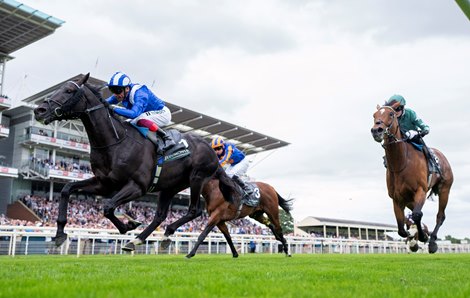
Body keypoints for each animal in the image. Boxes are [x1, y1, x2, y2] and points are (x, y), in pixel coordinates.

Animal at [33, 73, 237, 249]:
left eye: (68, 90)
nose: (39, 110)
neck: (115, 143)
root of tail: (211, 150)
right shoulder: (104, 184)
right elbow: (67, 189)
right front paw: (60, 233)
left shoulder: (138, 186)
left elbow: (108, 207)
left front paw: (128, 225)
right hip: (170, 187)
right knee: (160, 215)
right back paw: (140, 239)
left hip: (197, 178)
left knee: (194, 210)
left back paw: (162, 233)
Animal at [372, 102, 454, 254]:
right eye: (374, 115)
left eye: (391, 114)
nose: (376, 130)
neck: (401, 163)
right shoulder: (396, 198)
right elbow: (401, 227)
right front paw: (413, 240)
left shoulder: (420, 191)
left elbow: (416, 215)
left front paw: (422, 237)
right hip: (409, 199)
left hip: (445, 189)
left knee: (440, 215)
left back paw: (432, 242)